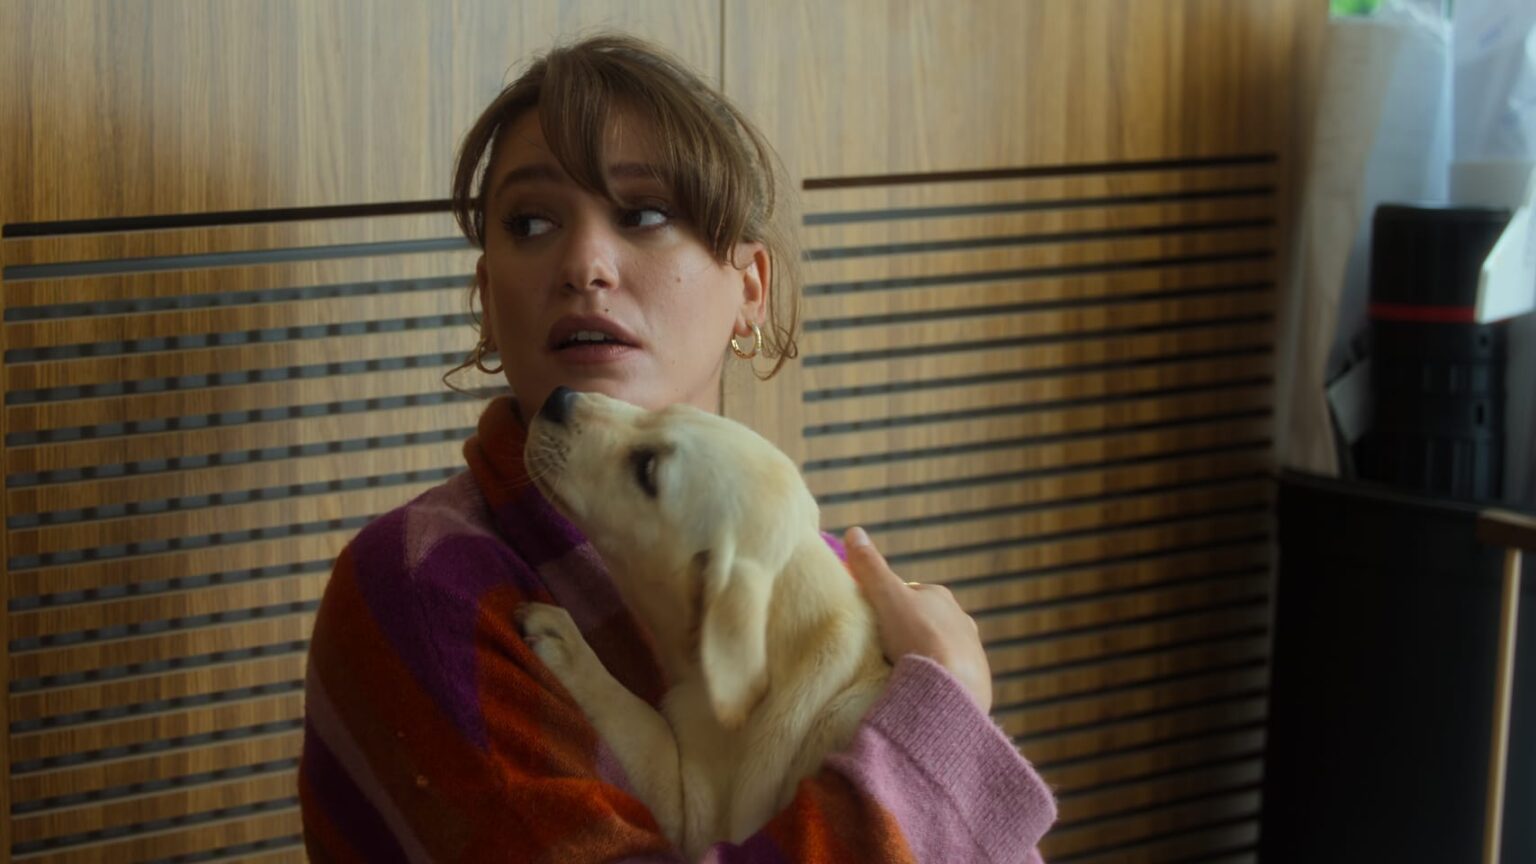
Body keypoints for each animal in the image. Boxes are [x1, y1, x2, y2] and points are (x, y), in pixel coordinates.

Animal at [517, 387, 892, 857]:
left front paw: (571, 648)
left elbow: (644, 727)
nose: (558, 397)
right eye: (660, 412)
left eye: (647, 470)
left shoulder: (695, 815)